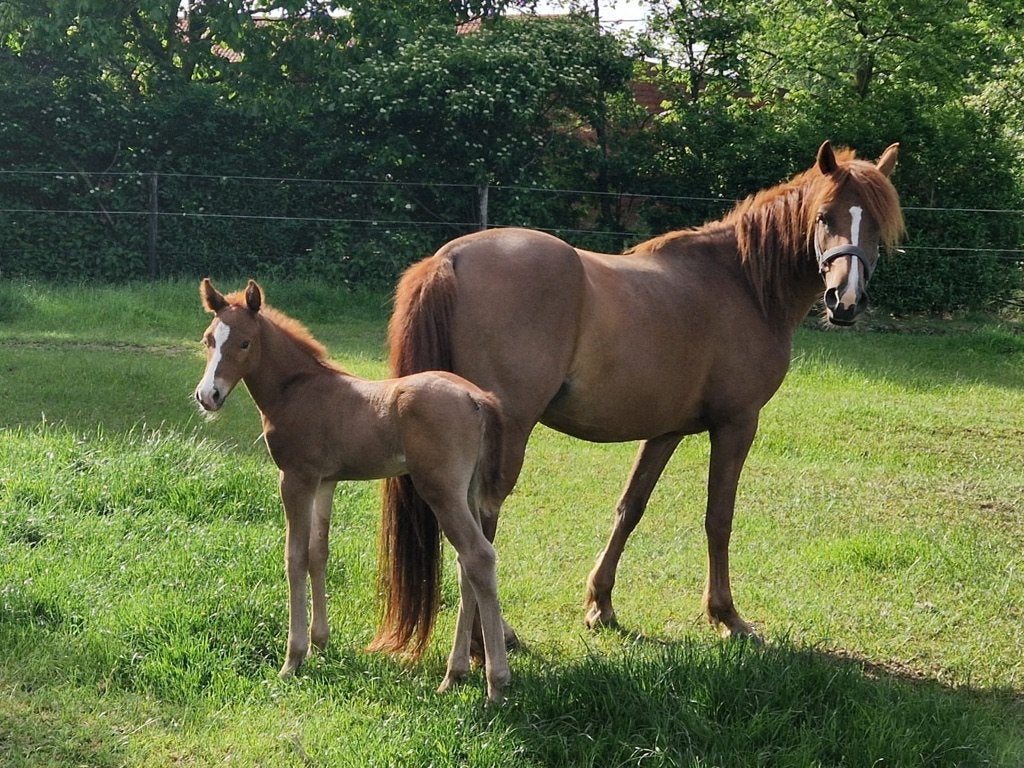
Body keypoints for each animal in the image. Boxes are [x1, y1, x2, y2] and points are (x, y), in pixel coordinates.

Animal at [194, 279, 511, 704]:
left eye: (244, 343)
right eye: (209, 339)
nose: (207, 396)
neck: (296, 390)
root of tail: (476, 398)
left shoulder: (295, 478)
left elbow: (294, 557)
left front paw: (292, 659)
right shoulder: (325, 481)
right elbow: (318, 553)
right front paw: (319, 643)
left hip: (441, 490)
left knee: (478, 557)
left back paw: (496, 683)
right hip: (467, 493)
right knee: (467, 565)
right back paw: (453, 675)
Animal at [374, 141, 904, 654]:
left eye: (876, 224)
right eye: (824, 217)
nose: (845, 301)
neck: (743, 284)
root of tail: (449, 259)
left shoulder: (666, 431)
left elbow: (630, 507)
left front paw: (601, 604)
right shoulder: (736, 423)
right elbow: (719, 517)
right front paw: (727, 617)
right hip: (504, 437)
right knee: (480, 532)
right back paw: (489, 641)